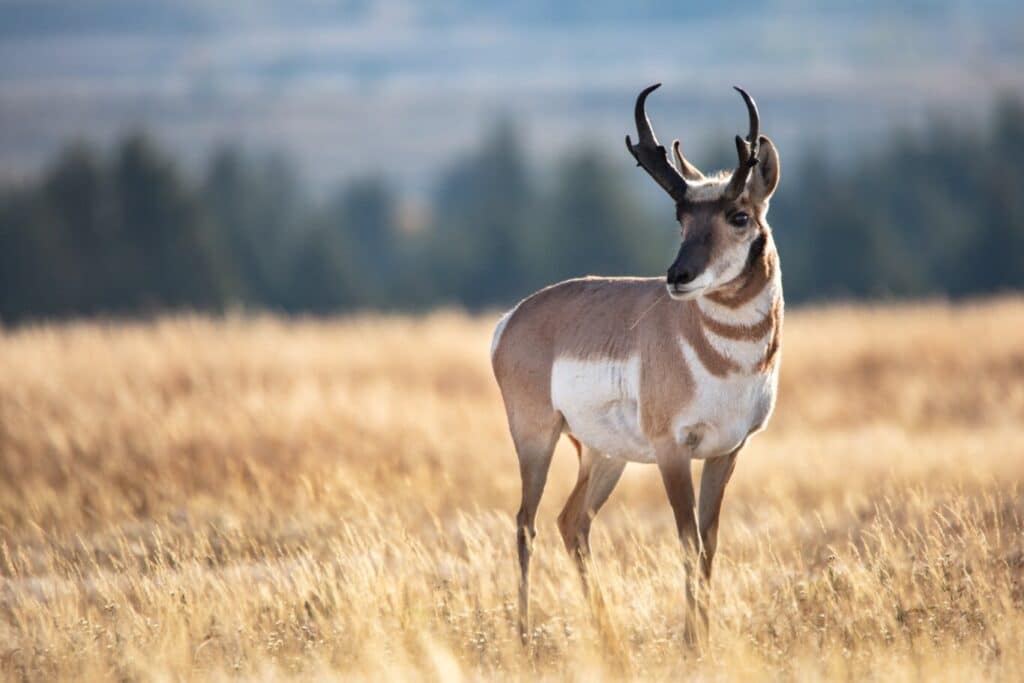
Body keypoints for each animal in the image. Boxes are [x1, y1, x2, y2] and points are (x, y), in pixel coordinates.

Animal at [491, 83, 778, 643]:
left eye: (739, 216)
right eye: (680, 217)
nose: (677, 276)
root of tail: (516, 315)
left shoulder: (727, 451)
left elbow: (710, 544)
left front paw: (704, 635)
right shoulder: (672, 450)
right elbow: (687, 541)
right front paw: (691, 641)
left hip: (605, 454)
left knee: (572, 521)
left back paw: (607, 634)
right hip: (537, 436)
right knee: (525, 523)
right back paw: (524, 635)